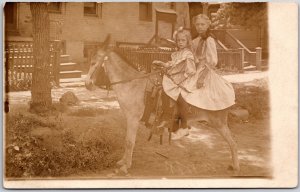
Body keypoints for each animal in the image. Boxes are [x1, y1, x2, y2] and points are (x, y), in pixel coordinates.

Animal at [85, 35, 240, 175]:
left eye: (94, 62)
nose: (87, 84)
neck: (132, 84)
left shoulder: (133, 119)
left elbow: (129, 142)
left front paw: (125, 167)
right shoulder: (130, 119)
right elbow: (126, 141)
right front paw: (123, 162)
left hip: (219, 123)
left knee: (233, 143)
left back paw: (235, 166)